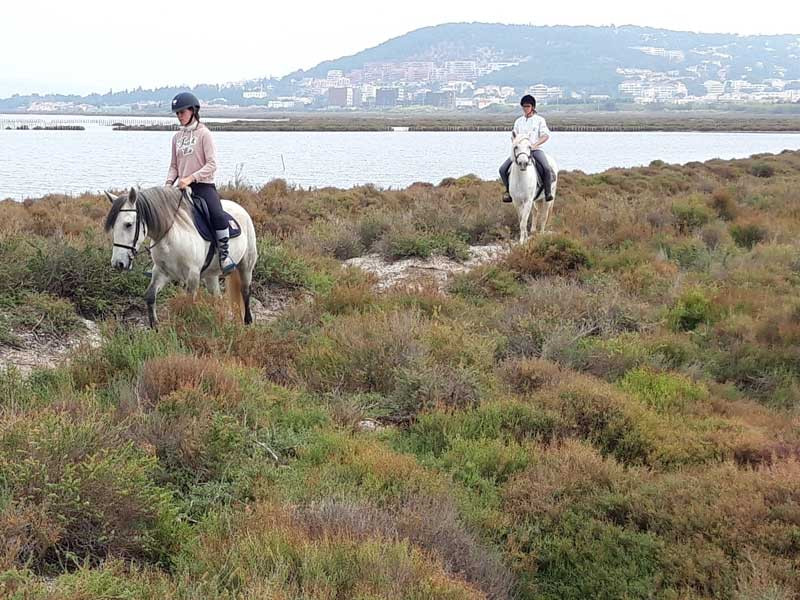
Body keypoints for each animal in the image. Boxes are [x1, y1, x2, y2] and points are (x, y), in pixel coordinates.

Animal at [104, 186, 258, 328]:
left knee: (245, 291)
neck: (171, 236)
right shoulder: (161, 272)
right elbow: (150, 296)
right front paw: (155, 327)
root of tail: (240, 208)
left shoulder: (193, 275)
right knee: (217, 297)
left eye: (128, 224)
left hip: (245, 266)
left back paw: (248, 322)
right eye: (113, 226)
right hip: (211, 275)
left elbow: (188, 303)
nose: (118, 263)